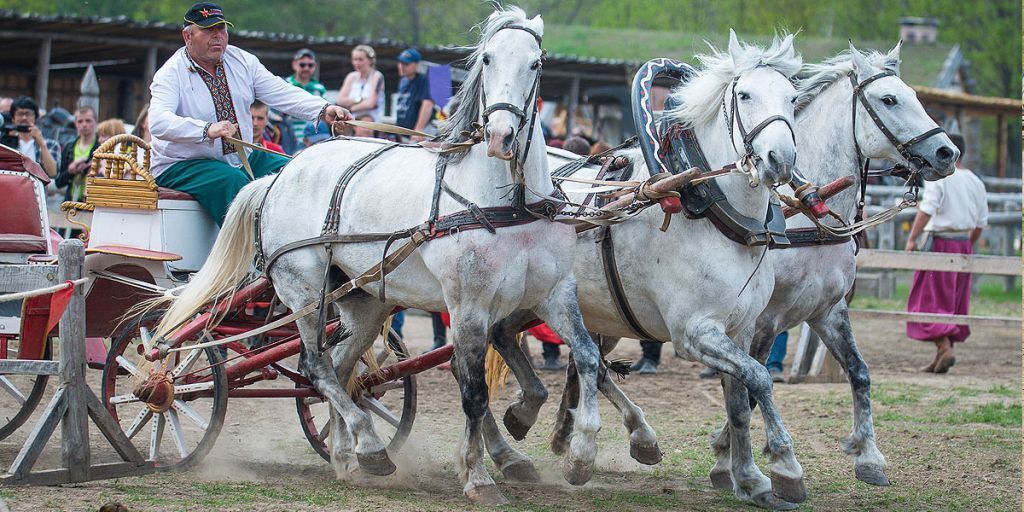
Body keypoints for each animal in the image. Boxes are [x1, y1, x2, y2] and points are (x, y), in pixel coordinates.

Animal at [155, 7, 602, 503]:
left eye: (535, 63)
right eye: (487, 59)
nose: (501, 136)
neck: (510, 204)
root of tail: (279, 177)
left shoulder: (553, 292)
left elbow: (587, 360)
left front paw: (577, 456)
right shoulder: (468, 305)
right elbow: (473, 391)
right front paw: (478, 477)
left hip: (364, 301)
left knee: (340, 368)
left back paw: (347, 457)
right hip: (303, 291)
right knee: (316, 367)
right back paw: (368, 446)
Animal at [483, 30, 811, 507]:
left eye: (792, 97)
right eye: (744, 95)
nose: (778, 159)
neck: (708, 209)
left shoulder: (740, 328)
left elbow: (738, 400)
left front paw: (749, 478)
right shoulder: (695, 333)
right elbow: (759, 378)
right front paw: (786, 466)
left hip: (549, 304)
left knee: (512, 338)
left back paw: (542, 419)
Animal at [708, 40, 954, 491]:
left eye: (913, 95)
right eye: (889, 99)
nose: (947, 152)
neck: (805, 219)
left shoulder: (828, 311)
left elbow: (859, 372)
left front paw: (868, 455)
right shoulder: (763, 319)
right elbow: (750, 384)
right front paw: (735, 456)